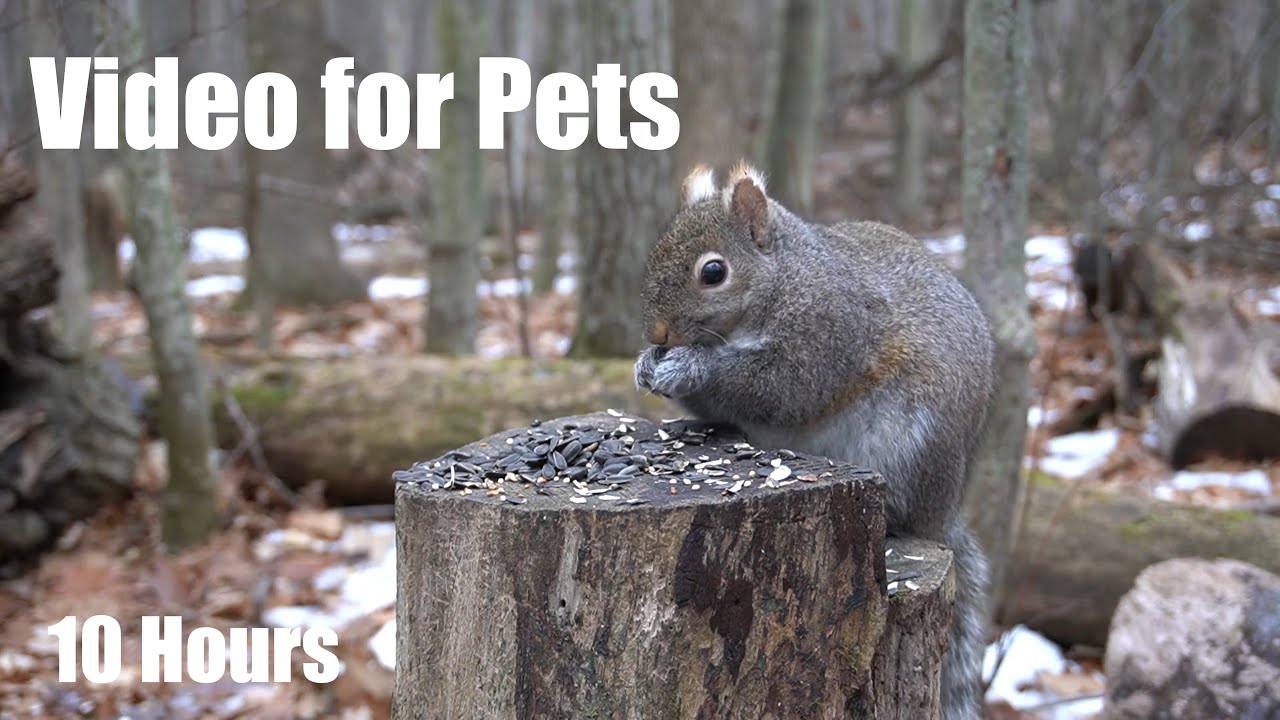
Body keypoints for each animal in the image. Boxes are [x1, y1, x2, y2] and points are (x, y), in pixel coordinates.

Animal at [634, 162, 996, 720]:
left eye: (713, 272)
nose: (658, 333)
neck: (785, 279)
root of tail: (945, 512)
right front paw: (646, 365)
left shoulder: (827, 333)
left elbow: (783, 388)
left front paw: (689, 366)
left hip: (907, 446)